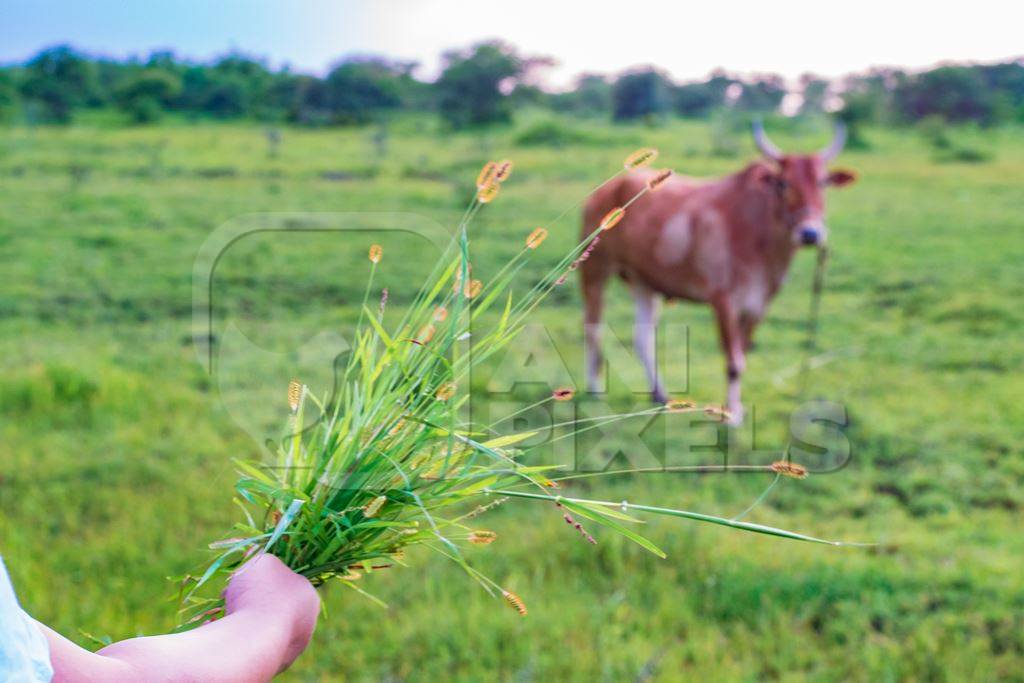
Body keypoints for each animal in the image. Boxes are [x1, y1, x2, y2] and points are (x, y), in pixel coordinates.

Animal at [577, 122, 856, 421]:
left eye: (823, 182)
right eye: (784, 183)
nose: (810, 233)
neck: (759, 235)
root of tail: (607, 188)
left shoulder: (758, 306)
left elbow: (742, 356)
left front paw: (736, 408)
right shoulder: (723, 301)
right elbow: (733, 361)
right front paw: (731, 415)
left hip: (643, 281)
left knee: (643, 337)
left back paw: (659, 394)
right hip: (594, 270)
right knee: (592, 327)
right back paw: (594, 390)